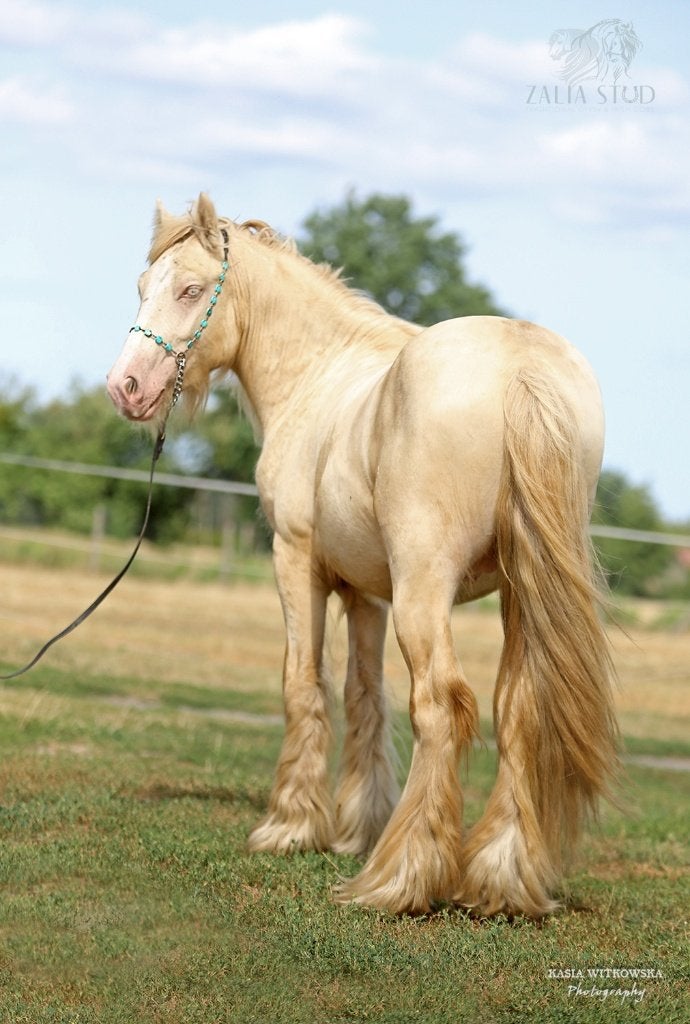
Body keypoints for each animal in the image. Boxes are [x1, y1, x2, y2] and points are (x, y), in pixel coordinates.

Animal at [107, 194, 618, 917]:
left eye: (191, 290)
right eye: (143, 286)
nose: (124, 387)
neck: (320, 376)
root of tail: (520, 370)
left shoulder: (296, 561)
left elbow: (303, 683)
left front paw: (290, 827)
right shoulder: (366, 591)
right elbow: (364, 694)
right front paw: (358, 824)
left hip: (424, 589)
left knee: (441, 706)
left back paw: (399, 879)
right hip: (520, 592)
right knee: (517, 708)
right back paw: (497, 880)